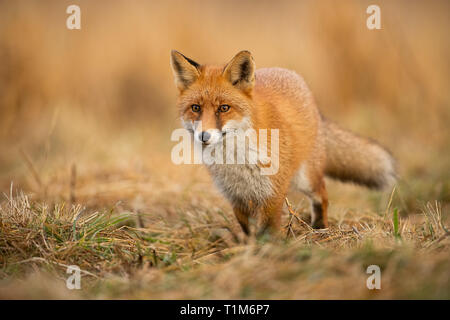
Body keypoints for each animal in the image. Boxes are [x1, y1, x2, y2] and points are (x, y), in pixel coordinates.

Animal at [171, 50, 396, 235]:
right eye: (196, 108)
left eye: (224, 108)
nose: (204, 136)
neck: (235, 161)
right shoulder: (236, 196)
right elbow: (248, 230)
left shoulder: (273, 192)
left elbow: (268, 230)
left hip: (306, 178)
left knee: (322, 195)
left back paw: (320, 228)